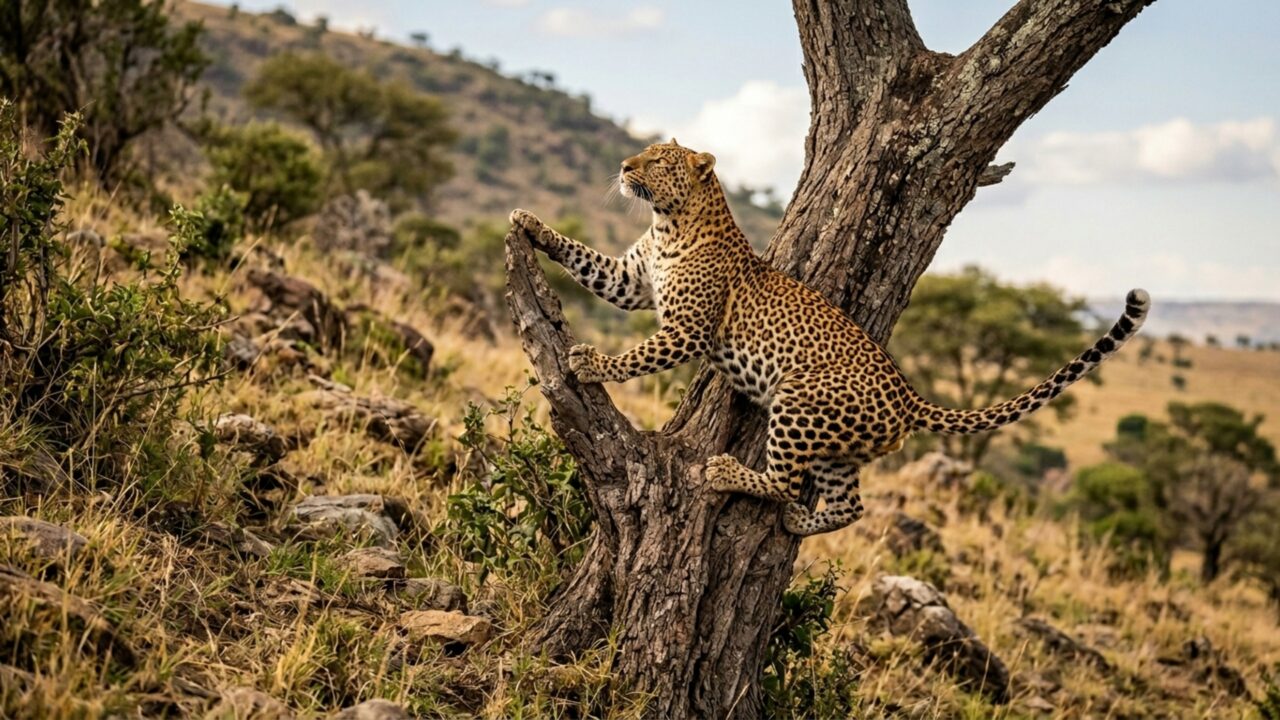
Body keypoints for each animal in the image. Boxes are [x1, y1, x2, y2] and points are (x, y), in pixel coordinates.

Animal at [509, 139, 1150, 536]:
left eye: (660, 159)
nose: (625, 165)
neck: (667, 223)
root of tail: (908, 396)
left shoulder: (686, 328)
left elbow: (641, 354)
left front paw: (591, 362)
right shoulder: (631, 281)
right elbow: (588, 260)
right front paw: (529, 223)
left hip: (800, 399)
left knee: (786, 478)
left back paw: (726, 474)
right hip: (841, 443)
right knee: (850, 504)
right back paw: (802, 522)